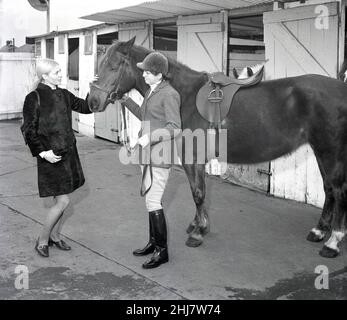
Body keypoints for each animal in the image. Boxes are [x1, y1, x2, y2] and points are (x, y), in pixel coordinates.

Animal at [89, 37, 347, 258]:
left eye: (113, 66)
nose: (92, 101)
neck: (183, 95)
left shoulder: (192, 157)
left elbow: (198, 192)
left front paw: (197, 233)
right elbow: (198, 190)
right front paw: (198, 225)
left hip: (330, 150)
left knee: (339, 190)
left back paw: (333, 241)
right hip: (320, 149)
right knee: (329, 188)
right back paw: (318, 231)